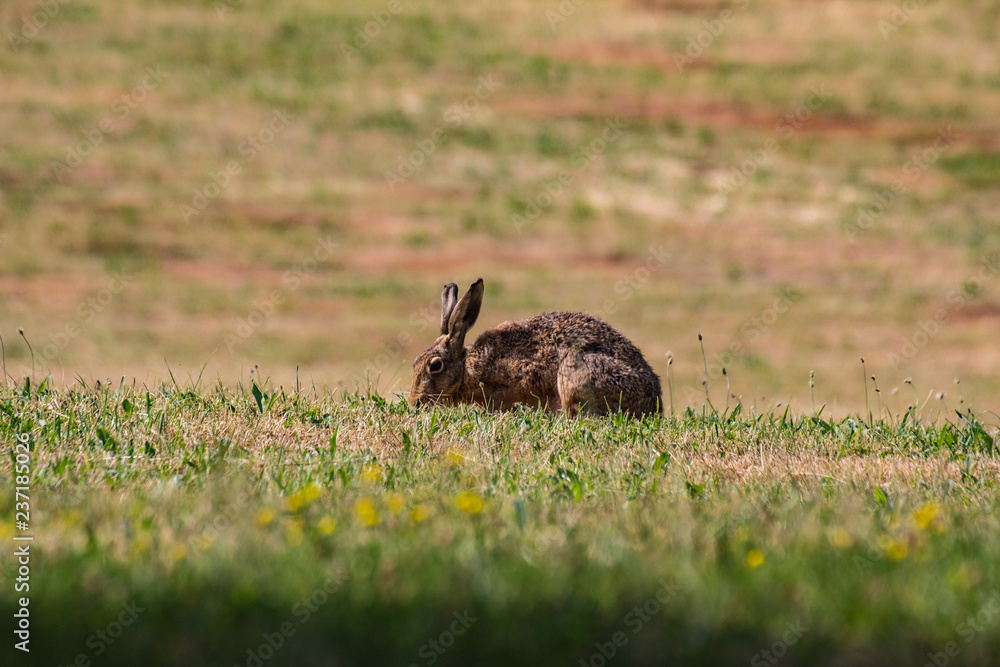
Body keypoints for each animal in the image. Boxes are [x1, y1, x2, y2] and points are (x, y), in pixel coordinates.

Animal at [409, 278, 662, 417]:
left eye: (435, 366)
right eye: (415, 362)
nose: (414, 403)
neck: (466, 368)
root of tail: (654, 406)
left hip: (576, 375)